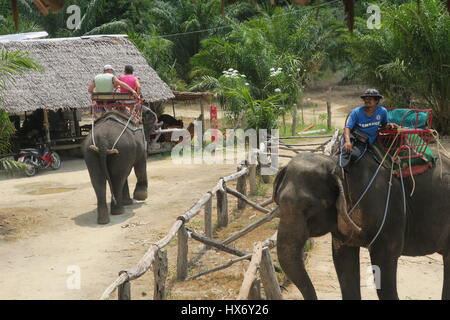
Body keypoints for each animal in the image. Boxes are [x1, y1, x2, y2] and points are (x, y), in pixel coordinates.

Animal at [272, 151, 450, 300]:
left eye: (310, 206)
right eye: (278, 201)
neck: (339, 167)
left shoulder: (390, 214)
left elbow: (384, 268)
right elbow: (344, 264)